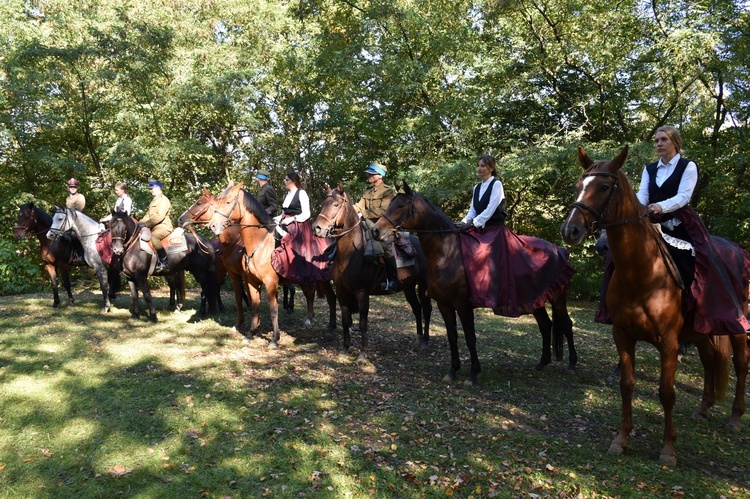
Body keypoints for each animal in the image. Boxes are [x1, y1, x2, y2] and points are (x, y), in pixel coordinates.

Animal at [181, 186, 336, 346]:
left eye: (199, 203)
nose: (181, 219)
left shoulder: (269, 282)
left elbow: (272, 309)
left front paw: (274, 338)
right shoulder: (246, 279)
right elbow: (252, 304)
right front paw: (250, 332)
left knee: (326, 296)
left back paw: (325, 324)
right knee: (313, 294)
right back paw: (314, 320)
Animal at [312, 183, 434, 360]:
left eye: (335, 204)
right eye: (323, 204)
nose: (317, 228)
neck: (350, 254)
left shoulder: (362, 293)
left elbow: (363, 324)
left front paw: (362, 354)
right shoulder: (342, 292)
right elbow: (345, 320)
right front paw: (345, 348)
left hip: (422, 284)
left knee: (426, 308)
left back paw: (425, 340)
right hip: (409, 287)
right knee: (417, 308)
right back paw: (418, 338)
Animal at [374, 186, 580, 384]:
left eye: (400, 205)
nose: (376, 230)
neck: (448, 252)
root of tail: (558, 249)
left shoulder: (463, 305)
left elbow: (470, 338)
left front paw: (472, 374)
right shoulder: (444, 304)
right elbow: (452, 336)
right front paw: (452, 371)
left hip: (557, 299)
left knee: (567, 324)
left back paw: (572, 364)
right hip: (535, 301)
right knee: (545, 325)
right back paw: (543, 362)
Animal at [560, 146, 748, 466]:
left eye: (604, 187)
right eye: (577, 186)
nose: (570, 230)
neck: (643, 271)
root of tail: (736, 249)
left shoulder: (669, 343)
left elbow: (666, 393)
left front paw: (668, 449)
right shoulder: (623, 336)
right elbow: (627, 385)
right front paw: (621, 438)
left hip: (737, 326)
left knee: (741, 363)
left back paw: (735, 419)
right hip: (702, 333)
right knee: (710, 361)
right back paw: (703, 408)